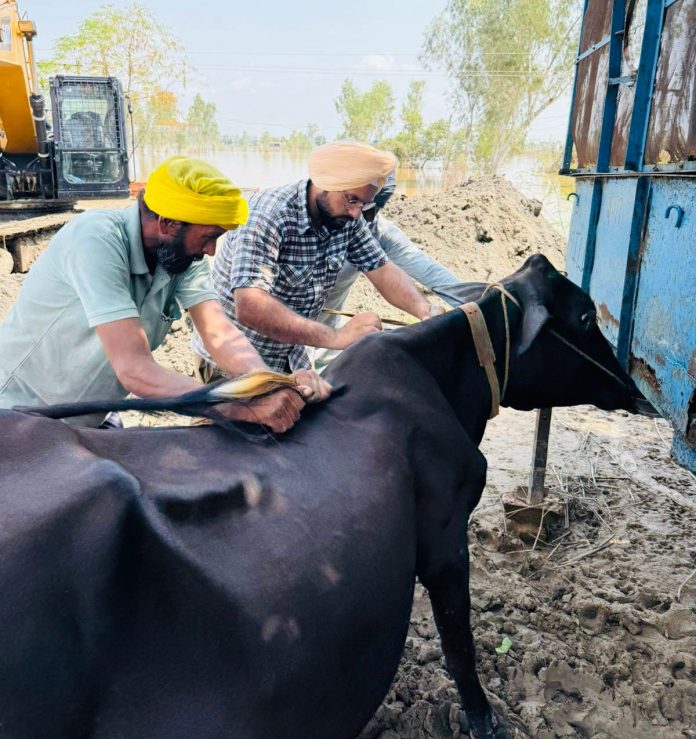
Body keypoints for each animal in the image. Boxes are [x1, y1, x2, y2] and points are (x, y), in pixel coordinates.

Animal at [0, 255, 645, 739]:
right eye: (584, 315)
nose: (638, 391)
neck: (436, 379)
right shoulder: (443, 536)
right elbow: (459, 641)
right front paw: (484, 720)